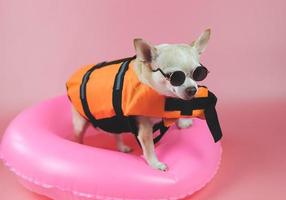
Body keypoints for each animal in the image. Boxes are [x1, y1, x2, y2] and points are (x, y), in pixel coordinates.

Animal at [71, 28, 210, 171]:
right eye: (174, 77)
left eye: (199, 73)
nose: (192, 89)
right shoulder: (145, 130)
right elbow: (149, 149)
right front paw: (155, 164)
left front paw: (183, 122)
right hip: (80, 123)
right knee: (79, 135)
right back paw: (80, 145)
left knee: (116, 134)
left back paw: (122, 147)